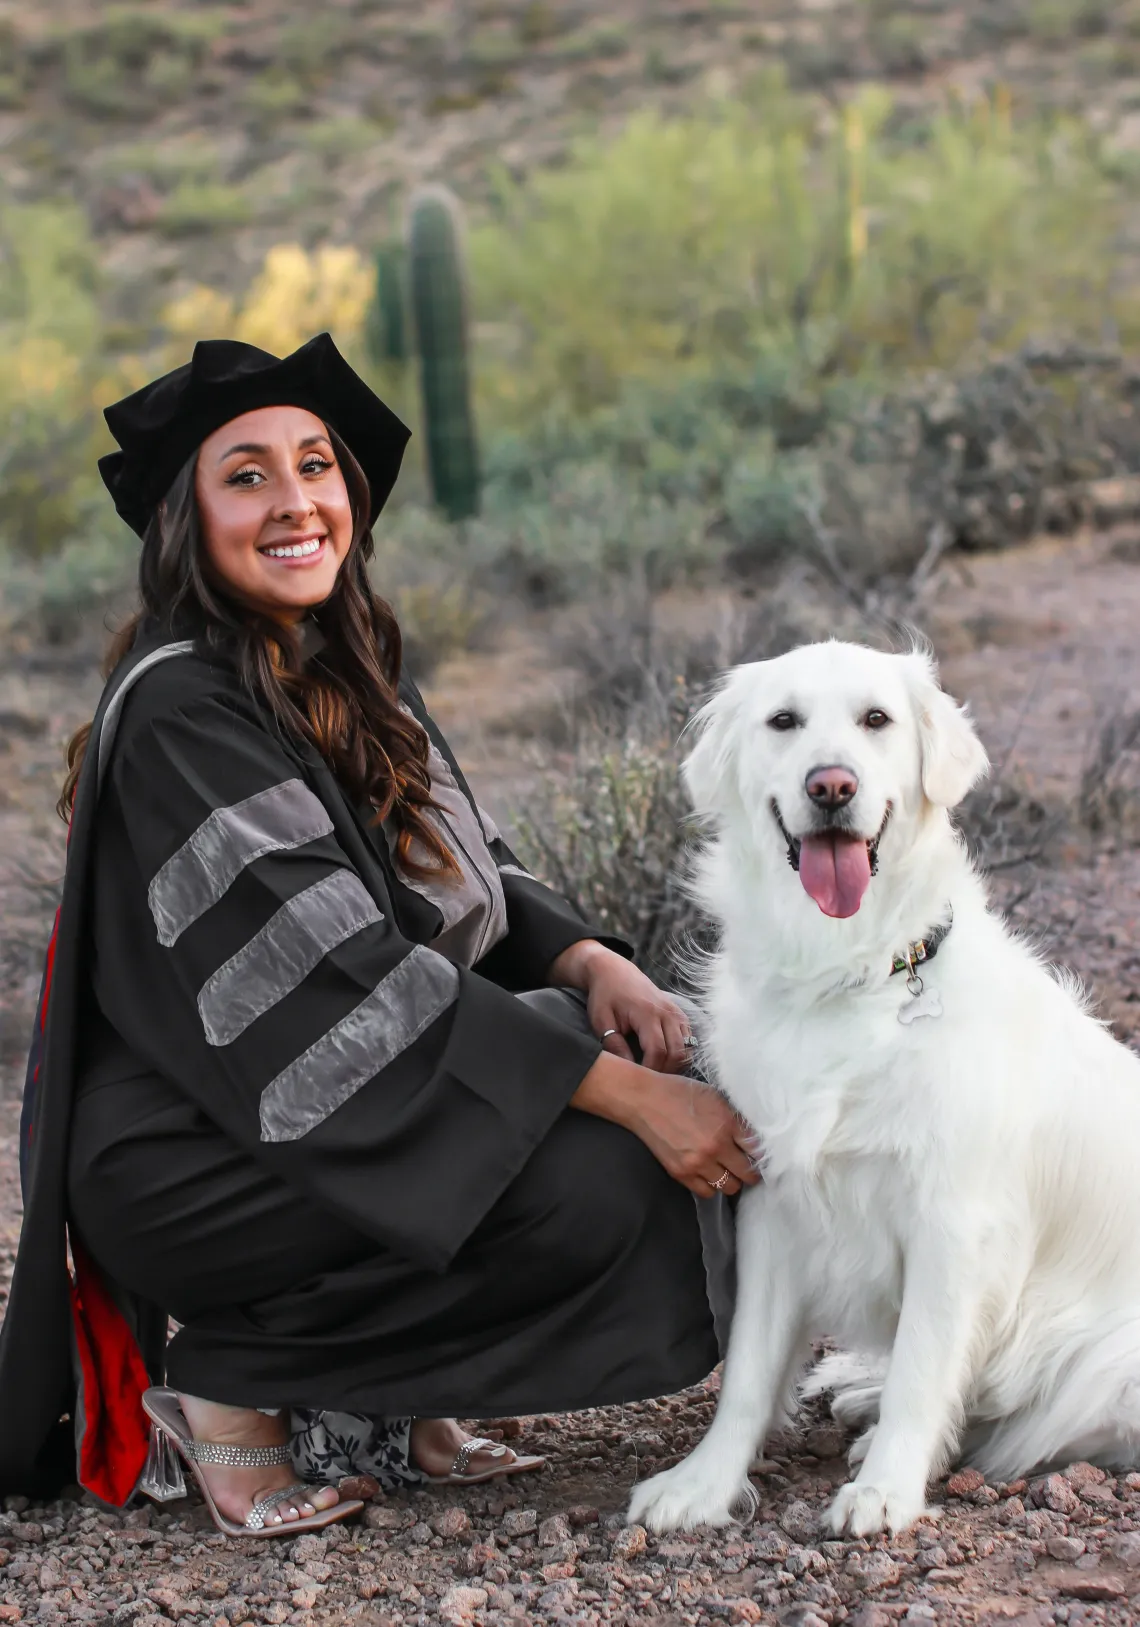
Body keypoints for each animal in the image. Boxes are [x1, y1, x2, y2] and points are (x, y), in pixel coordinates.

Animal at [627, 637, 1138, 1535]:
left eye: (876, 719)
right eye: (784, 720)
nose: (831, 785)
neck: (849, 973)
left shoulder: (953, 1221)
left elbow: (924, 1368)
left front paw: (887, 1488)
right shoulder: (771, 1199)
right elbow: (748, 1370)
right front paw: (703, 1483)